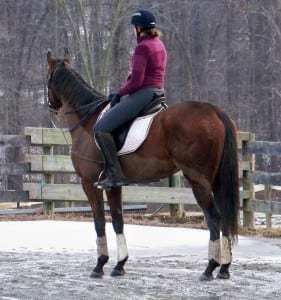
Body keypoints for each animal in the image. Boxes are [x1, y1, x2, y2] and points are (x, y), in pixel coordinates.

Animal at [46, 49, 238, 282]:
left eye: (48, 77)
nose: (51, 107)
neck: (87, 119)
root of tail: (214, 111)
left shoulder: (89, 183)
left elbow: (99, 222)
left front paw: (99, 265)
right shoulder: (113, 185)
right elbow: (118, 220)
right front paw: (119, 265)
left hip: (198, 180)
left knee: (213, 217)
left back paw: (210, 268)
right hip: (217, 179)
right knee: (224, 216)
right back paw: (224, 269)